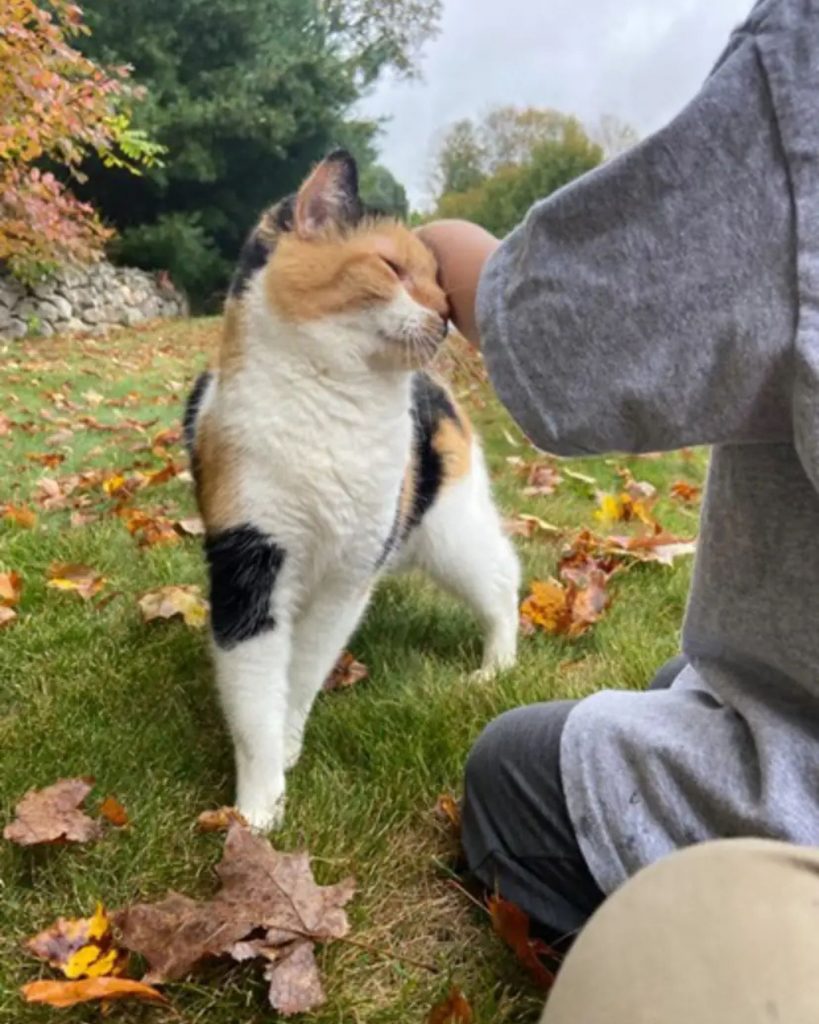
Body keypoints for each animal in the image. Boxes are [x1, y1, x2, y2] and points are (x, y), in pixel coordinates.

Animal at [185, 149, 518, 831]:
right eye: (391, 268)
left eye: (440, 282)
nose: (447, 315)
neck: (337, 404)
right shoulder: (248, 568)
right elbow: (255, 698)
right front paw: (259, 809)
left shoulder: (348, 577)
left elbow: (304, 670)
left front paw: (282, 757)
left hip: (449, 531)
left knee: (504, 579)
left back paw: (496, 666)